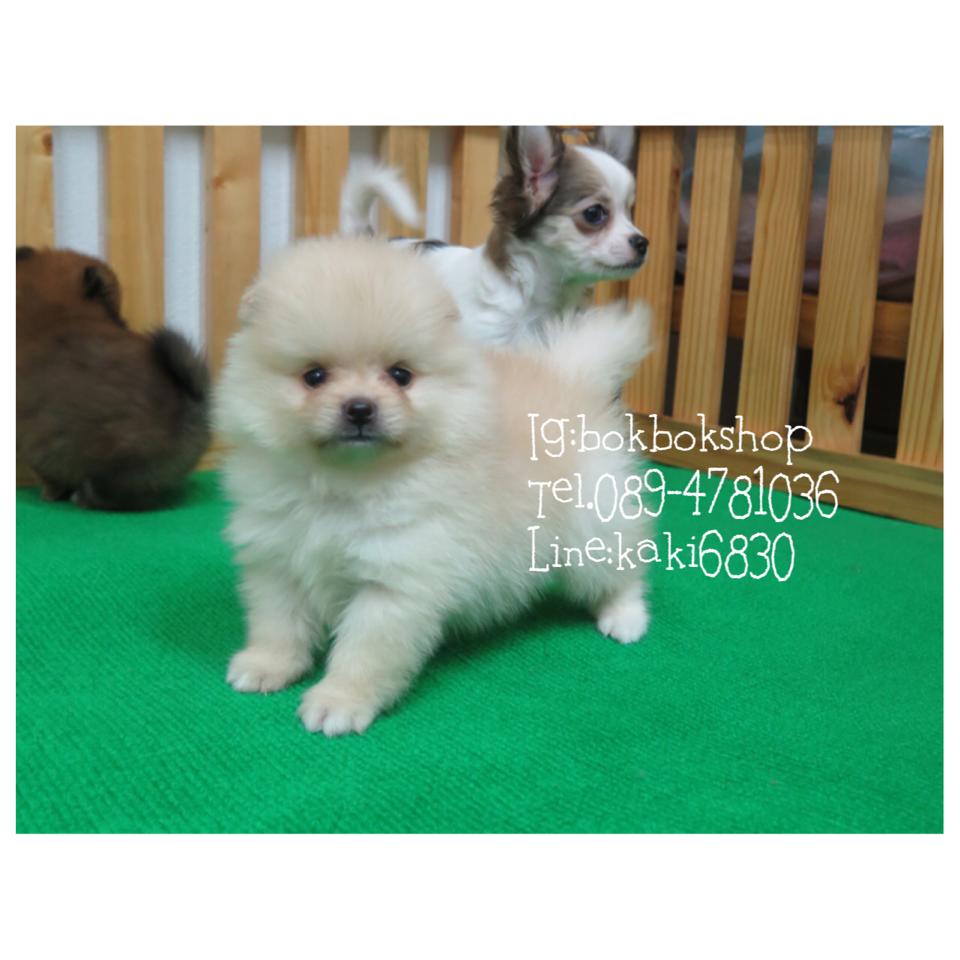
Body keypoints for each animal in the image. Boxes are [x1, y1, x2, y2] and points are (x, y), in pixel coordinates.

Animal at [16, 247, 211, 510]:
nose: (123, 321)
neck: (53, 310)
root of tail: (188, 405)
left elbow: (48, 476)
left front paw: (50, 494)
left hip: (122, 460)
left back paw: (84, 497)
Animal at [215, 236, 652, 736]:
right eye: (314, 376)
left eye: (400, 375)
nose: (360, 408)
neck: (344, 484)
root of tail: (569, 377)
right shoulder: (277, 559)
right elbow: (277, 623)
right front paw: (267, 665)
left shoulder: (396, 579)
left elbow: (364, 651)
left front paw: (339, 700)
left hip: (590, 528)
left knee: (621, 570)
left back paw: (625, 616)